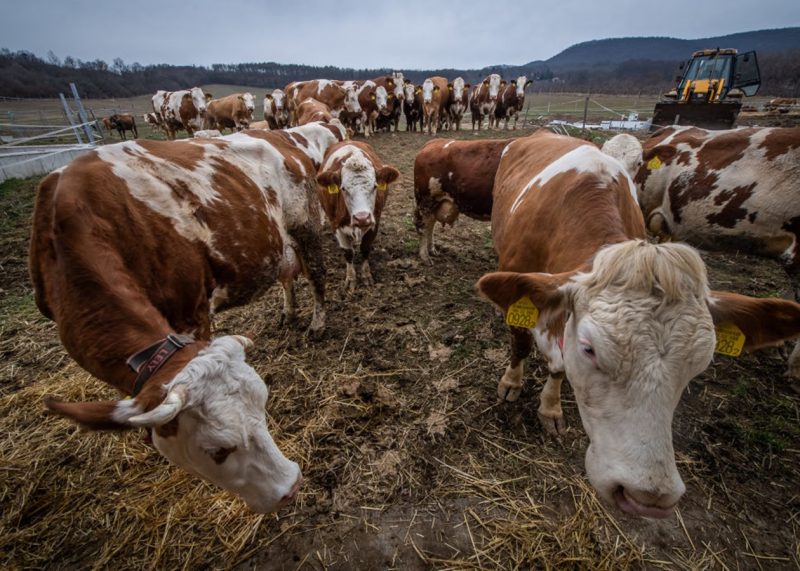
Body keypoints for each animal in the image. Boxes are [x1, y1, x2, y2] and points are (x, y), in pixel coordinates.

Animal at [29, 120, 348, 512]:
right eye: (217, 450)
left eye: (264, 409)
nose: (291, 486)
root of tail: (282, 134)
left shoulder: (193, 313)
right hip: (276, 243)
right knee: (287, 276)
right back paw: (289, 312)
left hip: (305, 228)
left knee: (316, 277)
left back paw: (317, 322)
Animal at [314, 139, 398, 290]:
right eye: (343, 188)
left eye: (375, 186)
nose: (362, 218)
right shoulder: (335, 224)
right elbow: (348, 253)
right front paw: (351, 278)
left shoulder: (375, 221)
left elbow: (365, 248)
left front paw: (366, 275)